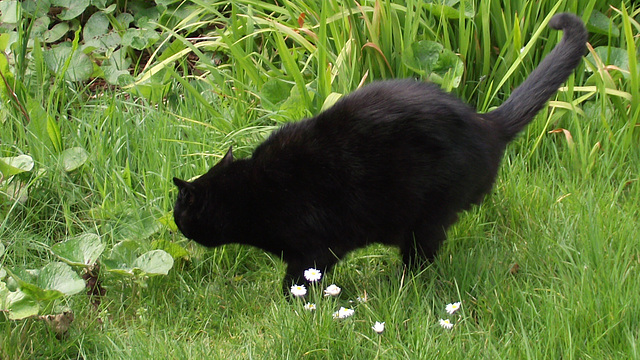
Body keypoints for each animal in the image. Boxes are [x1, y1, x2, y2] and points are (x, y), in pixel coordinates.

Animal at [172, 12, 588, 292]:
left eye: (179, 213)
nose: (178, 226)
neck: (252, 193)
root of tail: (486, 124)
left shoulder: (313, 249)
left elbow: (298, 280)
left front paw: (292, 303)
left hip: (426, 218)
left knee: (421, 260)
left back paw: (401, 286)